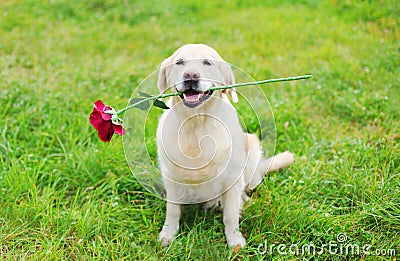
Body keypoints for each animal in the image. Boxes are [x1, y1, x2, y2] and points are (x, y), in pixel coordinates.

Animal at [156, 43, 294, 247]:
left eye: (208, 62)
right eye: (179, 62)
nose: (191, 75)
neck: (196, 124)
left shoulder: (232, 177)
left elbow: (230, 214)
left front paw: (234, 240)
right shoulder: (171, 176)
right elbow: (172, 211)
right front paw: (168, 234)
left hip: (252, 150)